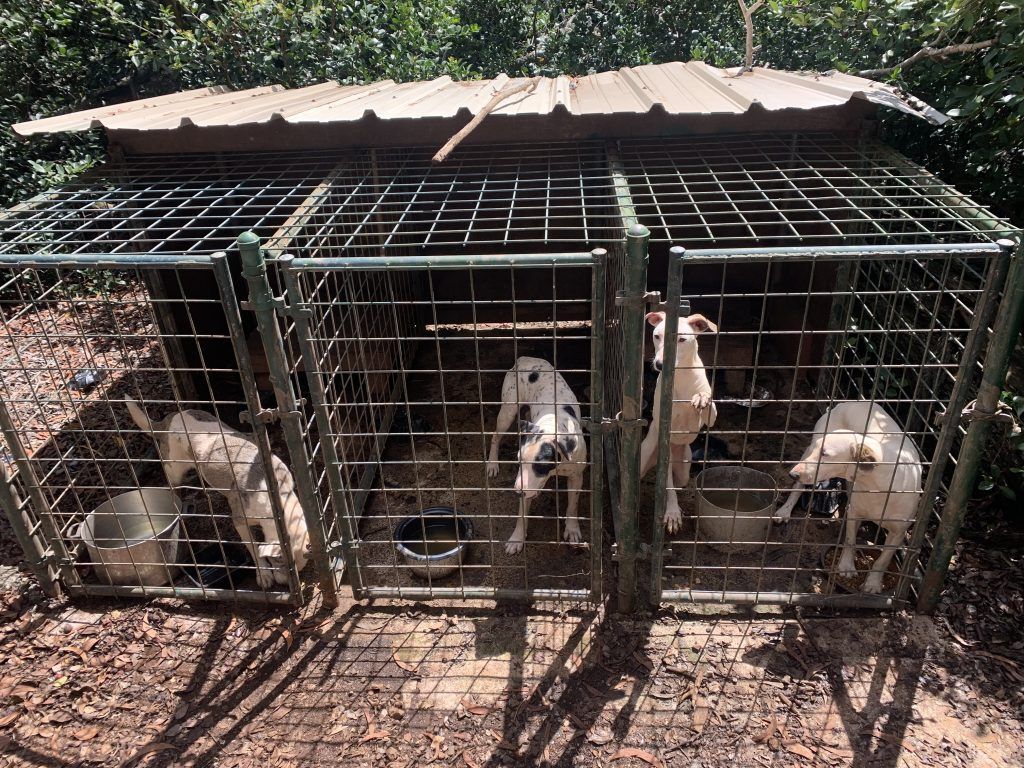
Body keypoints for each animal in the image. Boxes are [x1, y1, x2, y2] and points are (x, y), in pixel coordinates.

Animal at [125, 403, 307, 589]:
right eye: (279, 562)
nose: (285, 584)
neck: (278, 502)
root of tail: (169, 419)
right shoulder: (239, 521)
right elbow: (254, 548)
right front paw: (264, 575)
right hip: (173, 470)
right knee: (175, 489)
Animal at [485, 358, 589, 557]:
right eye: (518, 461)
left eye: (540, 464)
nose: (517, 491)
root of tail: (525, 358)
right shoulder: (524, 482)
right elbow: (521, 515)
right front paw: (517, 538)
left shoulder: (576, 477)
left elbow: (572, 506)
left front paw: (572, 529)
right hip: (508, 411)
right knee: (495, 436)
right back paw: (492, 463)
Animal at [634, 313, 716, 536]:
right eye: (656, 336)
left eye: (681, 339)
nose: (659, 364)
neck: (682, 377)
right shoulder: (667, 427)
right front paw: (672, 513)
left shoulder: (708, 419)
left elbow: (708, 407)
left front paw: (701, 398)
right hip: (648, 456)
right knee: (664, 484)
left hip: (684, 471)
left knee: (675, 480)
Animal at [774, 403, 921, 593]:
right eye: (819, 451)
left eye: (826, 454)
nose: (792, 474)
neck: (878, 487)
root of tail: (848, 403)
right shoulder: (854, 514)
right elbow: (850, 541)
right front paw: (846, 567)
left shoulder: (899, 532)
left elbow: (883, 560)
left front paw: (873, 584)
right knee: (798, 488)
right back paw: (785, 510)